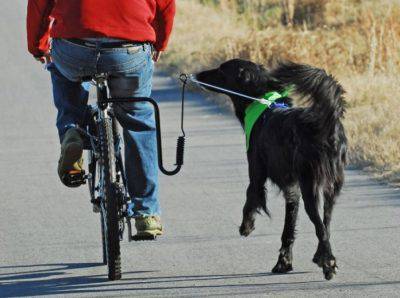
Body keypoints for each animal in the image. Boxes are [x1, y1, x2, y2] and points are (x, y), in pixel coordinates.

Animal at [197, 59, 346, 280]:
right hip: (331, 189)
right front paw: (284, 263)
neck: (262, 103)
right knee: (326, 224)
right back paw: (321, 256)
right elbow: (288, 231)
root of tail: (325, 124)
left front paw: (246, 226)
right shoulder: (293, 190)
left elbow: (250, 199)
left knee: (320, 226)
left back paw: (328, 262)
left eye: (222, 70)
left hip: (310, 186)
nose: (198, 75)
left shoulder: (257, 174)